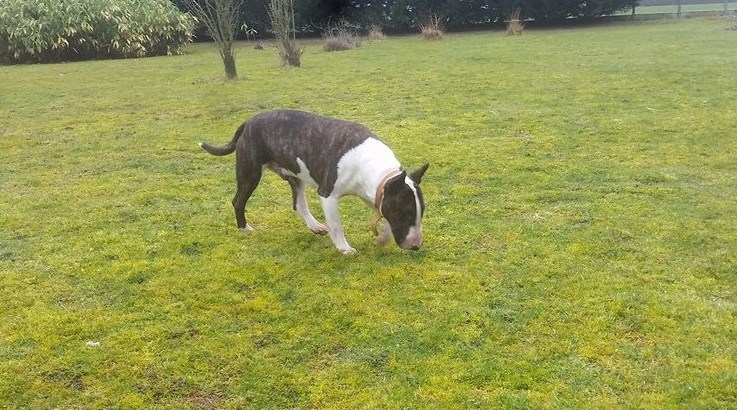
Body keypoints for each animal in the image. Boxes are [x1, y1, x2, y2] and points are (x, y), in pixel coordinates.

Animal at [198, 110, 428, 255]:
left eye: (420, 213)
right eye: (405, 213)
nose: (416, 246)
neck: (381, 172)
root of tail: (249, 122)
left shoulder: (378, 196)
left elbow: (384, 219)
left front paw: (382, 238)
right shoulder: (328, 195)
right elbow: (336, 226)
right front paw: (344, 248)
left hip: (295, 175)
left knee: (299, 204)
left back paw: (315, 226)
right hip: (250, 172)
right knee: (238, 200)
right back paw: (244, 228)